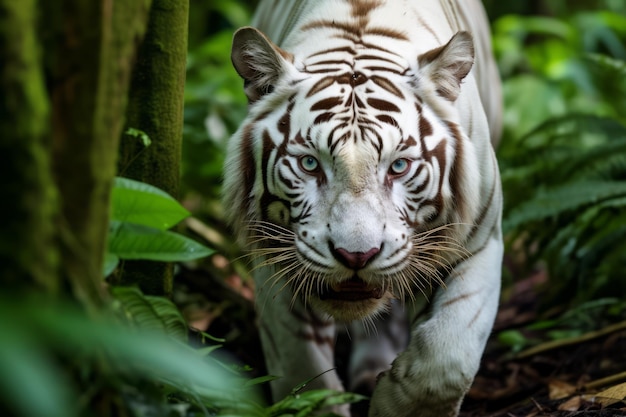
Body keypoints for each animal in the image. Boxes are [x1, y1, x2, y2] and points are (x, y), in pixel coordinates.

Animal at [222, 0, 500, 416]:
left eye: (398, 166)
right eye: (309, 164)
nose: (357, 256)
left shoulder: (479, 243)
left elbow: (447, 359)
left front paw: (394, 405)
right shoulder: (277, 259)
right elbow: (300, 371)